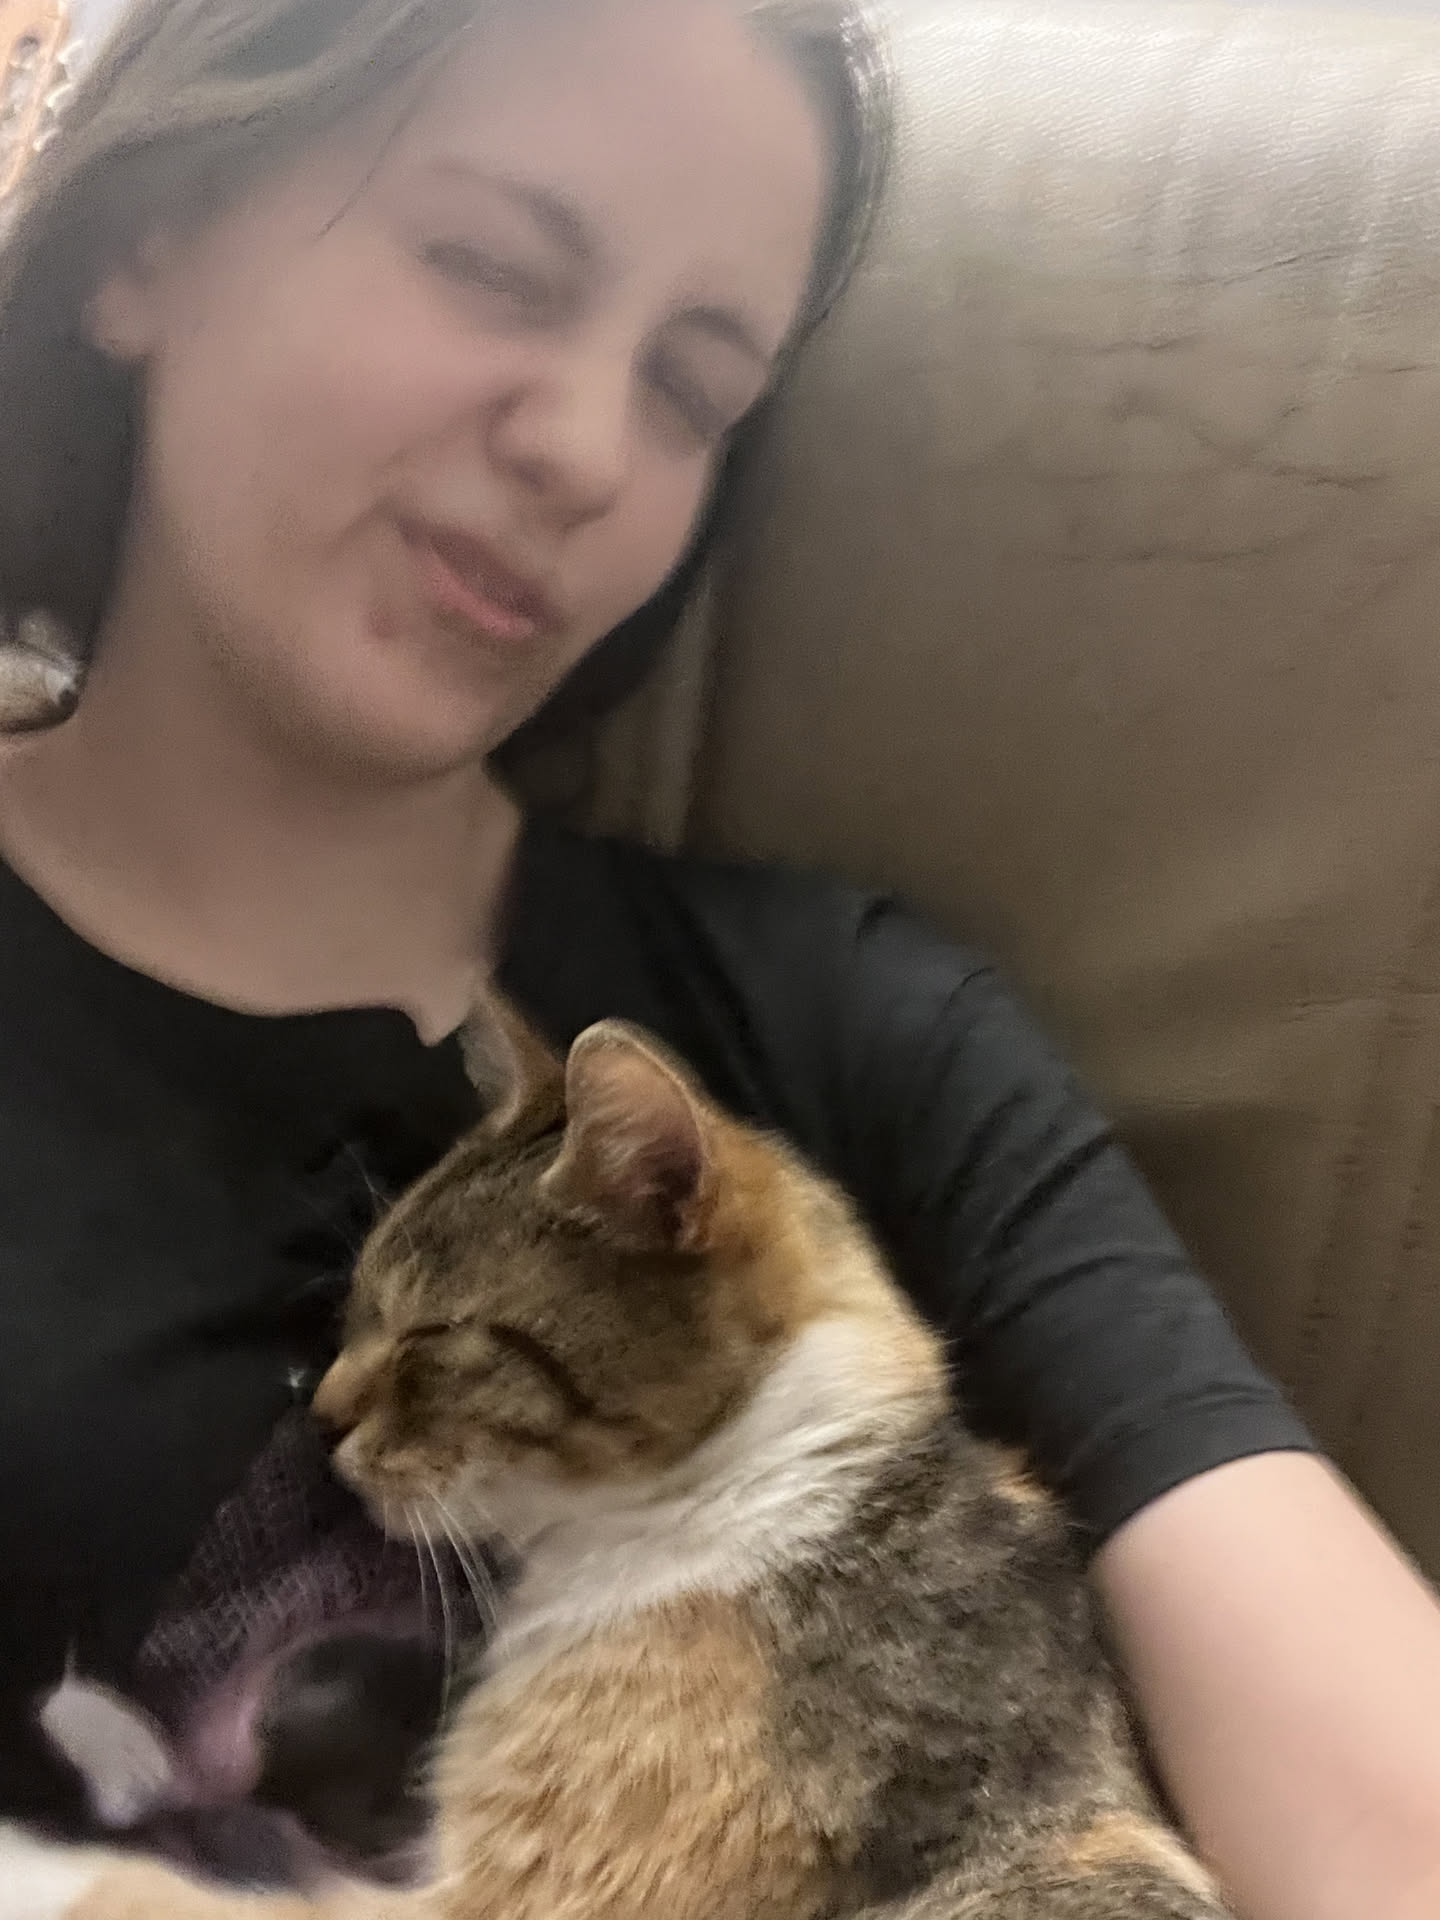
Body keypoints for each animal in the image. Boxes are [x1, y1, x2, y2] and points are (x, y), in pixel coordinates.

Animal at [0, 996, 1232, 1920]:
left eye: (434, 1338)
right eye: (357, 1308)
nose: (323, 1420)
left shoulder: (520, 1897)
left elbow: (170, 1890)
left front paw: (39, 1846)